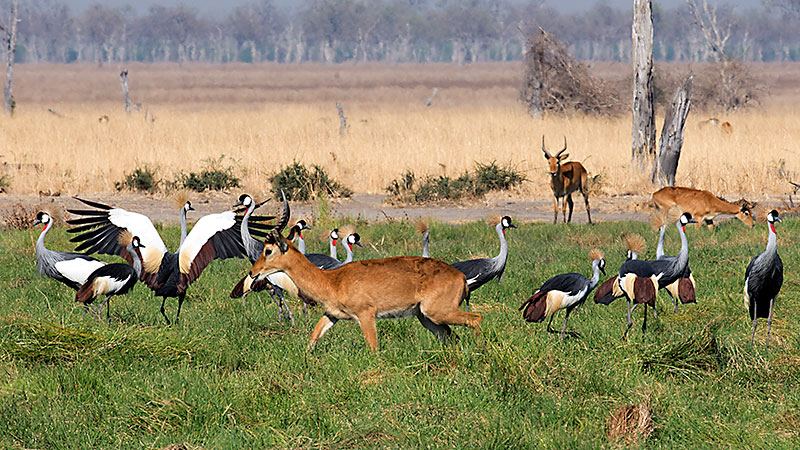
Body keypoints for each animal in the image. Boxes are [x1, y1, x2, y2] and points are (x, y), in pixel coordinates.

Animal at [65, 197, 272, 324]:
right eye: (188, 205)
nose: (192, 207)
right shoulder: (183, 288)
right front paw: (177, 322)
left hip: (164, 290)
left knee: (162, 308)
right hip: (179, 290)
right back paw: (175, 322)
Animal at [244, 225, 482, 352]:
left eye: (268, 250)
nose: (253, 272)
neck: (332, 280)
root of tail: (460, 277)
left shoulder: (366, 315)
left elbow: (373, 347)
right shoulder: (332, 315)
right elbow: (313, 337)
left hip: (438, 312)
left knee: (476, 318)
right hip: (427, 318)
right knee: (452, 336)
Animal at [744, 209, 780, 346]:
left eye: (777, 215)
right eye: (774, 216)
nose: (778, 220)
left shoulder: (772, 293)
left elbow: (769, 320)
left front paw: (767, 345)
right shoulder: (755, 293)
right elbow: (754, 321)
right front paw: (751, 344)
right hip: (754, 299)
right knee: (754, 318)